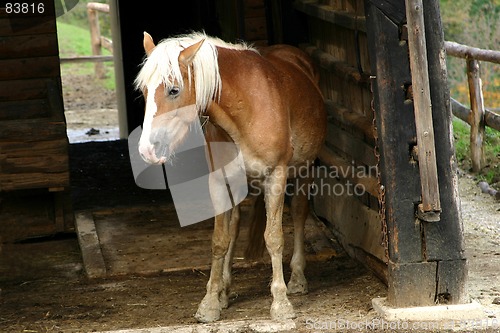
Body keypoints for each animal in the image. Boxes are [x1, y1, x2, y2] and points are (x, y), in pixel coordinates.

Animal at [135, 31, 326, 322]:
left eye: (174, 90)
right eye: (144, 90)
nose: (147, 150)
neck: (245, 108)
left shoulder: (276, 177)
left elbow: (274, 237)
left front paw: (281, 303)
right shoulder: (218, 180)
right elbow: (220, 240)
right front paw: (210, 301)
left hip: (305, 169)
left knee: (299, 212)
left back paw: (297, 278)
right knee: (234, 224)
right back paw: (225, 290)